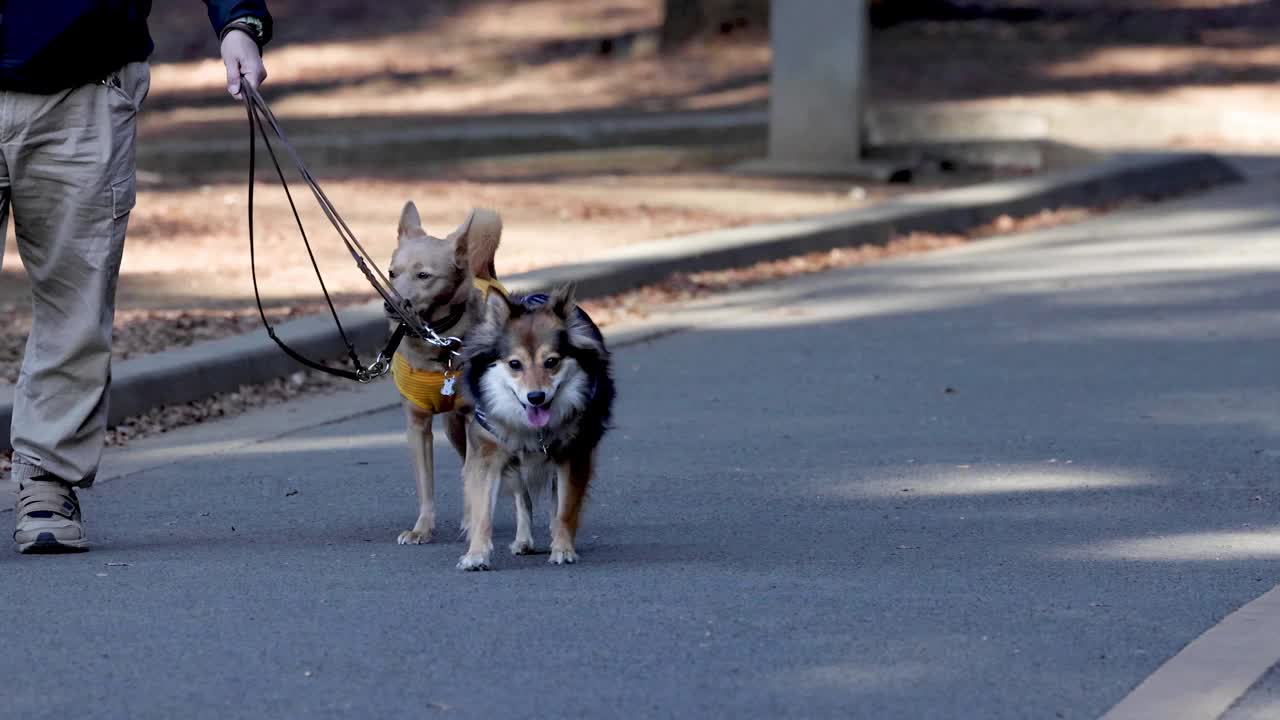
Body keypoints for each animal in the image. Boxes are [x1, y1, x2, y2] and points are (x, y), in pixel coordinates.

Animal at [389, 198, 504, 540]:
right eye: (391, 274)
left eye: (424, 275)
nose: (391, 304)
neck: (434, 339)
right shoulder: (417, 426)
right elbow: (425, 483)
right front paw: (422, 529)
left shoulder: (471, 419)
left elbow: (470, 472)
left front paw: (471, 521)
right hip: (451, 427)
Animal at [458, 283, 616, 568]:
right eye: (514, 364)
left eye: (551, 362)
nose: (536, 397)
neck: (531, 429)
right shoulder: (487, 455)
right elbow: (482, 511)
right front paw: (476, 554)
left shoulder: (573, 454)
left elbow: (564, 508)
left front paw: (563, 548)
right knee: (523, 500)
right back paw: (523, 541)